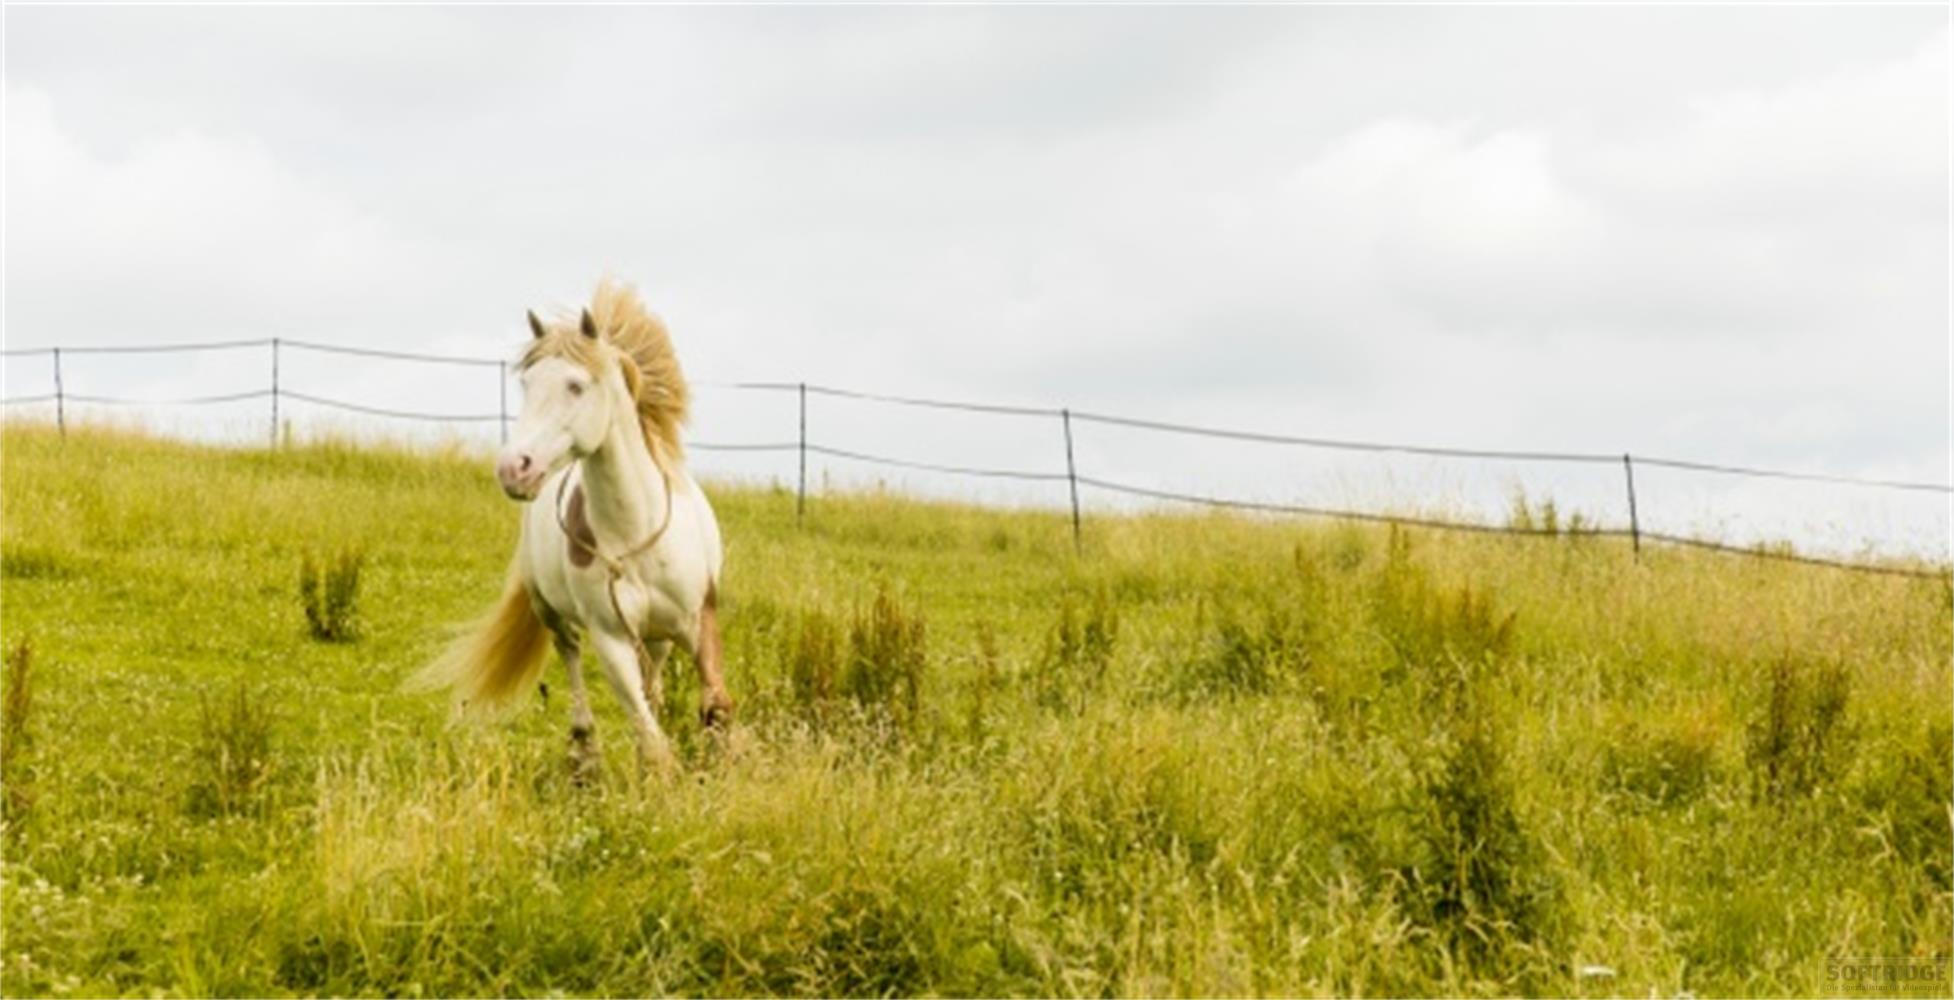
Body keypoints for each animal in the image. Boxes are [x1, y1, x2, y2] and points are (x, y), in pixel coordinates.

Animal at [418, 280, 731, 776]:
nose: (515, 469)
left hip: (659, 635)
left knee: (653, 674)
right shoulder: (611, 639)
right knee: (569, 654)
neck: (634, 529)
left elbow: (714, 708)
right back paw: (584, 751)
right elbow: (649, 734)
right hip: (549, 609)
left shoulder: (699, 619)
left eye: (576, 385)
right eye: (527, 384)